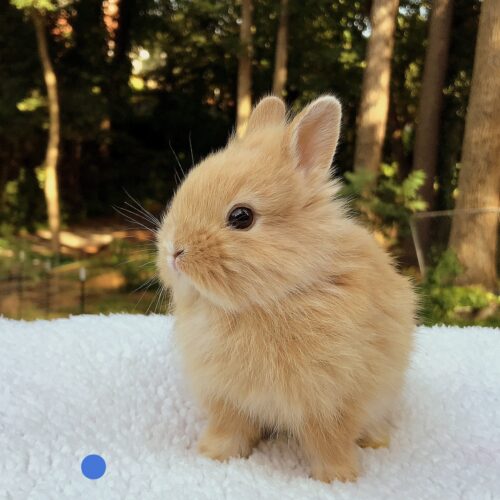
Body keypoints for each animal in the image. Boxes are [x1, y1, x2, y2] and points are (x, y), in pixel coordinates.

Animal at [158, 95, 416, 482]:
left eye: (242, 217)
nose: (174, 251)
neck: (268, 300)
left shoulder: (334, 402)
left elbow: (330, 443)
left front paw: (336, 478)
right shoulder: (228, 399)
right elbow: (229, 430)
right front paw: (212, 455)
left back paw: (376, 441)